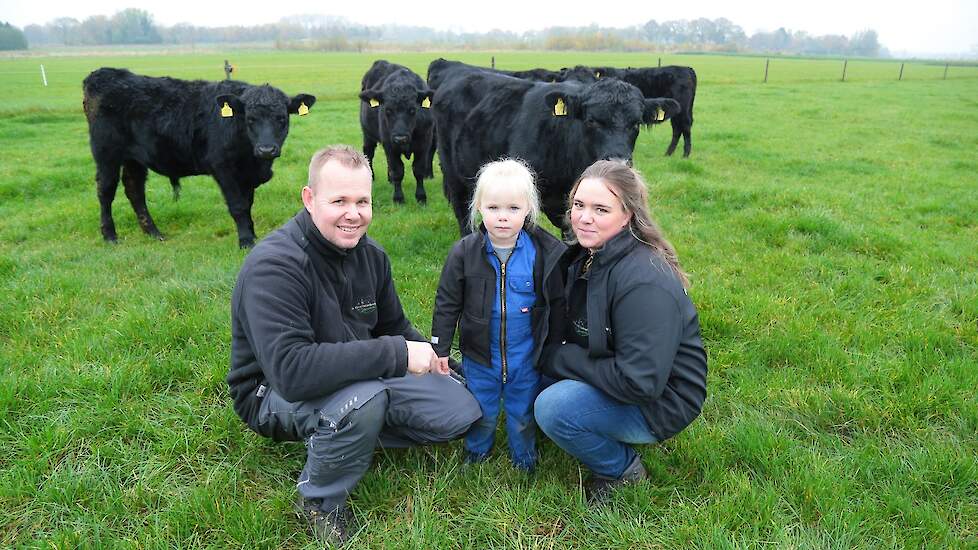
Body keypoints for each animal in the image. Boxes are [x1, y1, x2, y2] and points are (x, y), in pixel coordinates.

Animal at [82, 67, 316, 248]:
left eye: (281, 118)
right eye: (250, 118)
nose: (266, 149)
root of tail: (104, 73)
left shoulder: (248, 174)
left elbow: (248, 203)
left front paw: (252, 234)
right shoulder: (223, 168)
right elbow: (238, 205)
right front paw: (246, 241)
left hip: (135, 159)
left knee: (134, 190)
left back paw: (154, 233)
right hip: (106, 153)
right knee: (106, 191)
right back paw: (110, 235)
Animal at [358, 59, 434, 205]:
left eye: (412, 110)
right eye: (387, 110)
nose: (400, 138)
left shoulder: (424, 143)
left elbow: (418, 170)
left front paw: (421, 197)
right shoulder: (390, 145)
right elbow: (398, 171)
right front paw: (398, 198)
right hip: (368, 135)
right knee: (368, 153)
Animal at [560, 66, 696, 160]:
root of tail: (687, 69)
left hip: (683, 109)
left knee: (684, 127)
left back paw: (685, 154)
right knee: (678, 128)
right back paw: (669, 153)